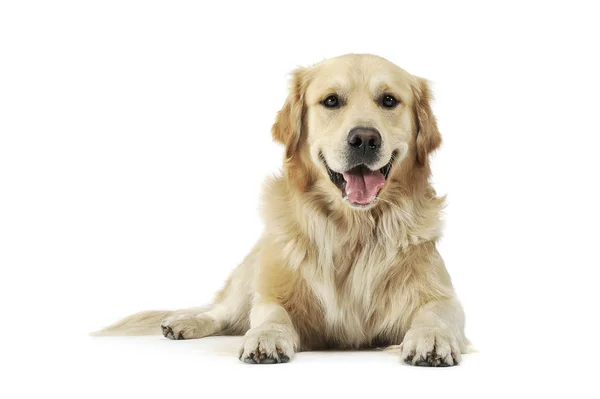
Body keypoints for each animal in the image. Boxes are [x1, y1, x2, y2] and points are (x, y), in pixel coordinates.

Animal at [95, 54, 468, 368]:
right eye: (331, 101)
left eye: (389, 100)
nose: (364, 138)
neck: (353, 228)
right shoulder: (272, 292)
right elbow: (271, 314)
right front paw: (266, 337)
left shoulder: (441, 295)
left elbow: (436, 313)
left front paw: (432, 338)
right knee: (221, 312)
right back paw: (184, 321)